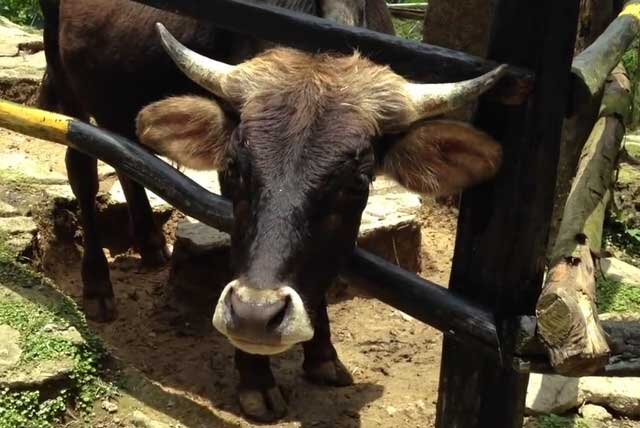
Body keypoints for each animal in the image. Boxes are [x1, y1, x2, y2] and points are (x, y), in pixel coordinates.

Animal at [38, 0, 504, 422]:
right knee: (82, 168)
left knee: (124, 154)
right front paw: (256, 380)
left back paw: (151, 245)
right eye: (234, 167)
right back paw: (97, 287)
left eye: (357, 180)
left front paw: (321, 354)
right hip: (63, 76)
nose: (253, 316)